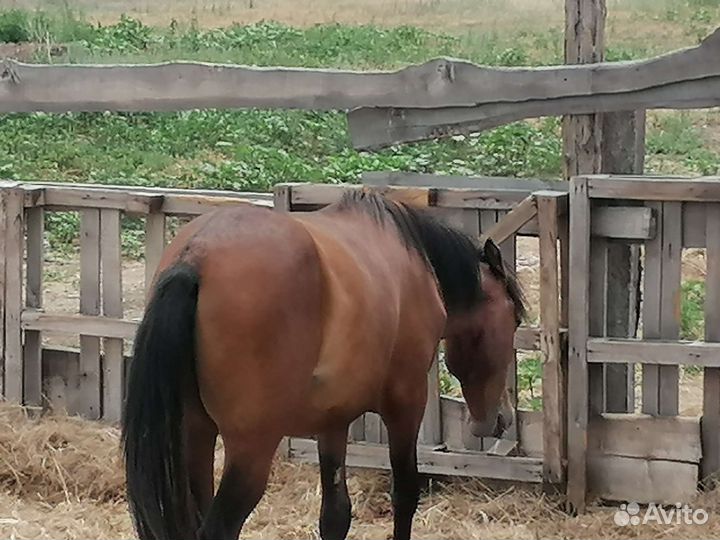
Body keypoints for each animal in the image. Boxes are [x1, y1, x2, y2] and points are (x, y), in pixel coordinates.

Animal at [121, 189, 526, 540]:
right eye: (515, 320)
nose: (502, 417)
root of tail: (197, 256)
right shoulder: (406, 406)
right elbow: (405, 495)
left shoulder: (333, 421)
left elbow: (335, 515)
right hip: (250, 451)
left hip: (197, 434)